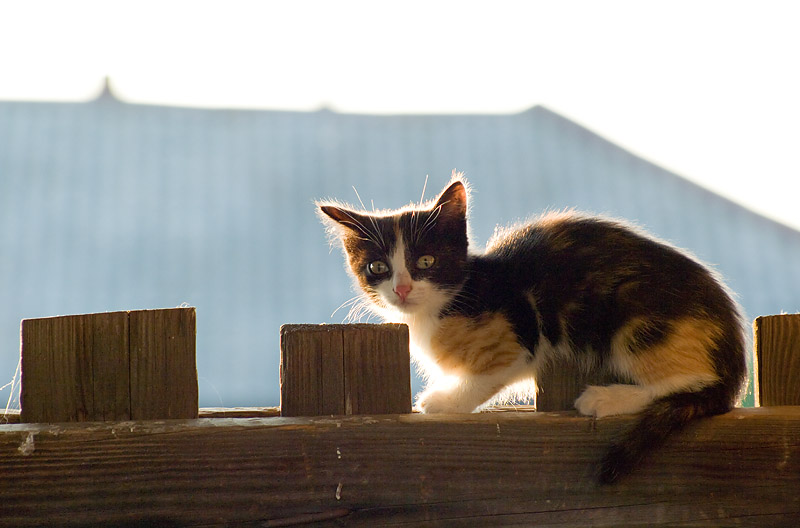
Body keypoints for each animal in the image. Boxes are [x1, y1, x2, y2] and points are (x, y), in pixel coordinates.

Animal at [316, 174, 748, 482]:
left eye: (426, 261)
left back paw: (607, 398)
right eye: (377, 267)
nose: (402, 289)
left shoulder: (519, 333)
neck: (451, 299)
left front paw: (444, 401)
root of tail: (734, 353)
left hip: (636, 319)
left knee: (689, 380)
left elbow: (490, 375)